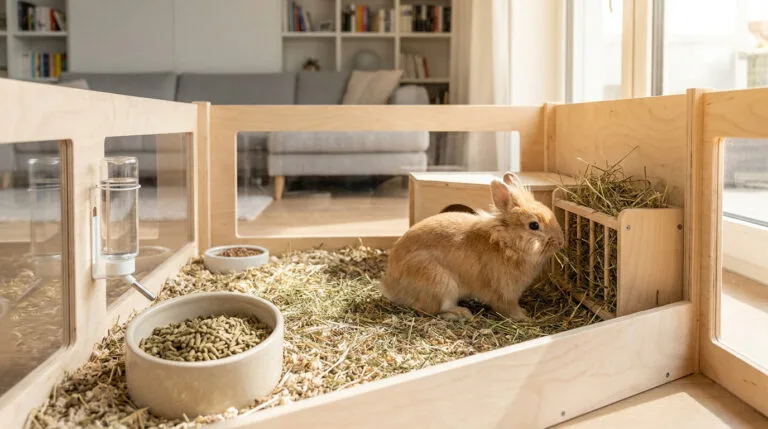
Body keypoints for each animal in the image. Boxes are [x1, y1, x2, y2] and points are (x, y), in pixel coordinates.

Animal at [380, 172, 564, 321]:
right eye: (534, 225)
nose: (560, 241)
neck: (506, 243)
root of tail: (390, 287)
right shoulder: (505, 293)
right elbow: (508, 308)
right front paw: (524, 317)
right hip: (439, 282)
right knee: (428, 309)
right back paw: (461, 313)